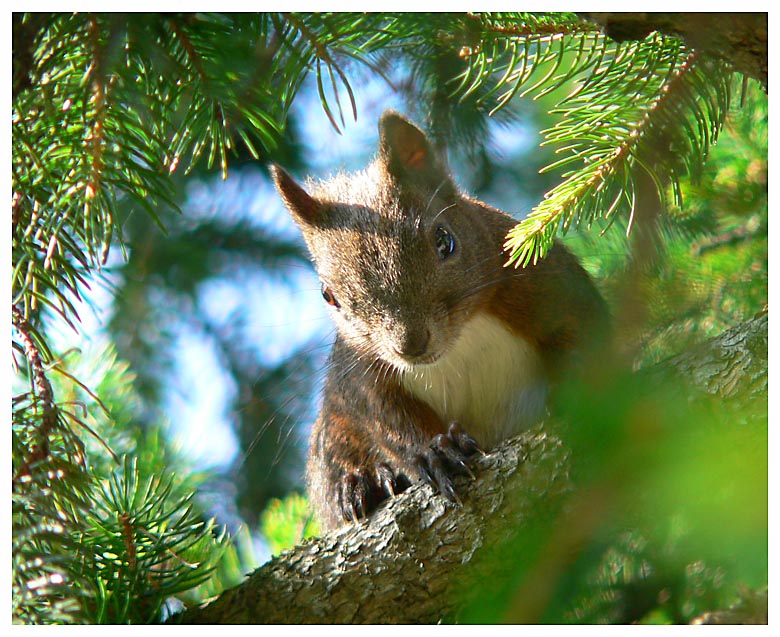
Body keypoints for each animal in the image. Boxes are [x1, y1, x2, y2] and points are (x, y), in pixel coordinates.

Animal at [272, 111, 609, 530]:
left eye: (444, 241)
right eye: (327, 295)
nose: (410, 345)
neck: (461, 341)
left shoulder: (550, 285)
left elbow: (585, 331)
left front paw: (578, 384)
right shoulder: (361, 369)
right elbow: (388, 419)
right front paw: (436, 453)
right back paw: (361, 484)